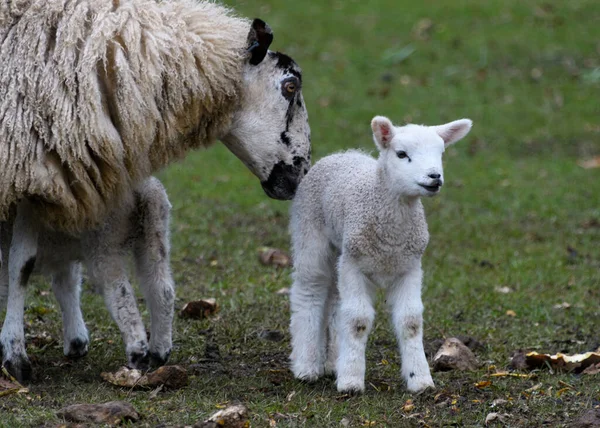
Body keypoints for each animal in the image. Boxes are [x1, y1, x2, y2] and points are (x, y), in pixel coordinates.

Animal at [288, 115, 472, 392]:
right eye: (401, 154)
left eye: (440, 153)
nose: (434, 177)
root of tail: (340, 154)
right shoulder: (355, 266)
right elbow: (358, 321)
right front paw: (351, 381)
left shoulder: (409, 267)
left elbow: (410, 322)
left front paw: (420, 380)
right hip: (311, 234)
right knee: (310, 292)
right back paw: (306, 366)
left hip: (342, 254)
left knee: (335, 302)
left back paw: (332, 363)